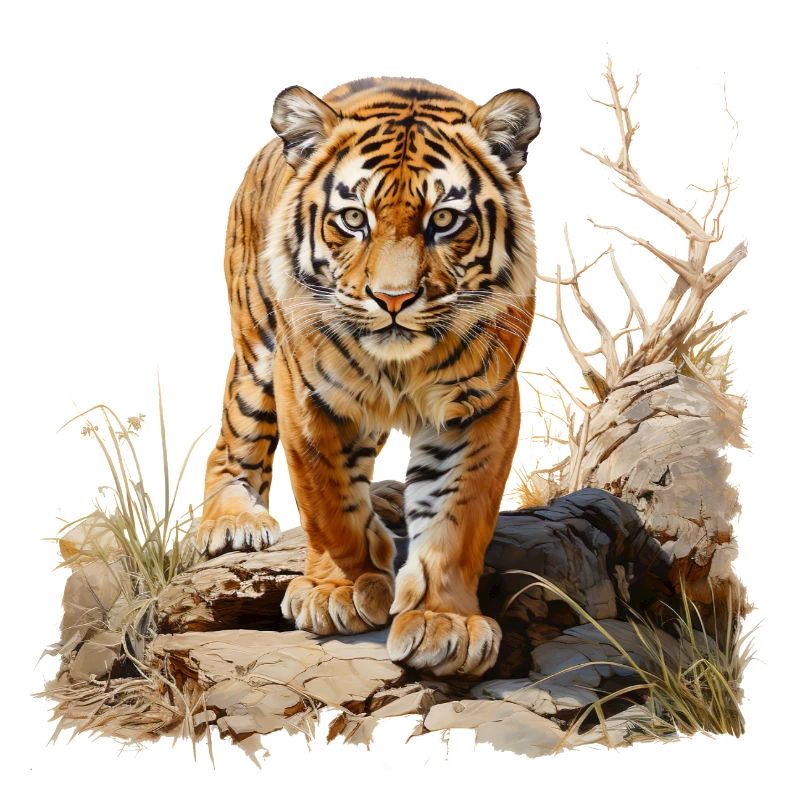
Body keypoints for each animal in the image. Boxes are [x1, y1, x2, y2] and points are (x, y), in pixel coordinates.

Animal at [196, 76, 540, 678]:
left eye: (444, 220)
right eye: (354, 219)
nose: (393, 299)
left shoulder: (483, 404)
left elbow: (458, 515)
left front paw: (444, 623)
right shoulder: (306, 393)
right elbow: (327, 499)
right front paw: (339, 590)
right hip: (256, 348)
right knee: (234, 439)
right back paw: (232, 521)